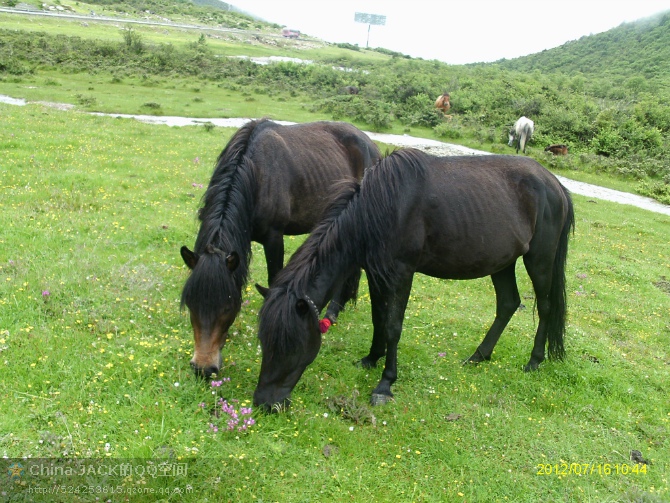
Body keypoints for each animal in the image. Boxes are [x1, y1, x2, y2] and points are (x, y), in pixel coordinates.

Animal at [181, 119, 380, 378]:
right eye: (190, 304)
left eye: (227, 306)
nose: (203, 369)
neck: (256, 173)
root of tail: (370, 144)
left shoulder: (274, 237)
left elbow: (274, 277)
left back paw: (333, 312)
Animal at [255, 149, 576, 410]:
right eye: (264, 341)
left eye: (290, 345)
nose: (264, 403)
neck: (382, 207)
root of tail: (555, 184)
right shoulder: (377, 273)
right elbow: (379, 319)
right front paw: (371, 358)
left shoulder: (401, 272)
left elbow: (393, 326)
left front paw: (385, 384)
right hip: (503, 262)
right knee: (508, 304)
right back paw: (478, 356)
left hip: (539, 259)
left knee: (545, 307)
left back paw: (534, 361)